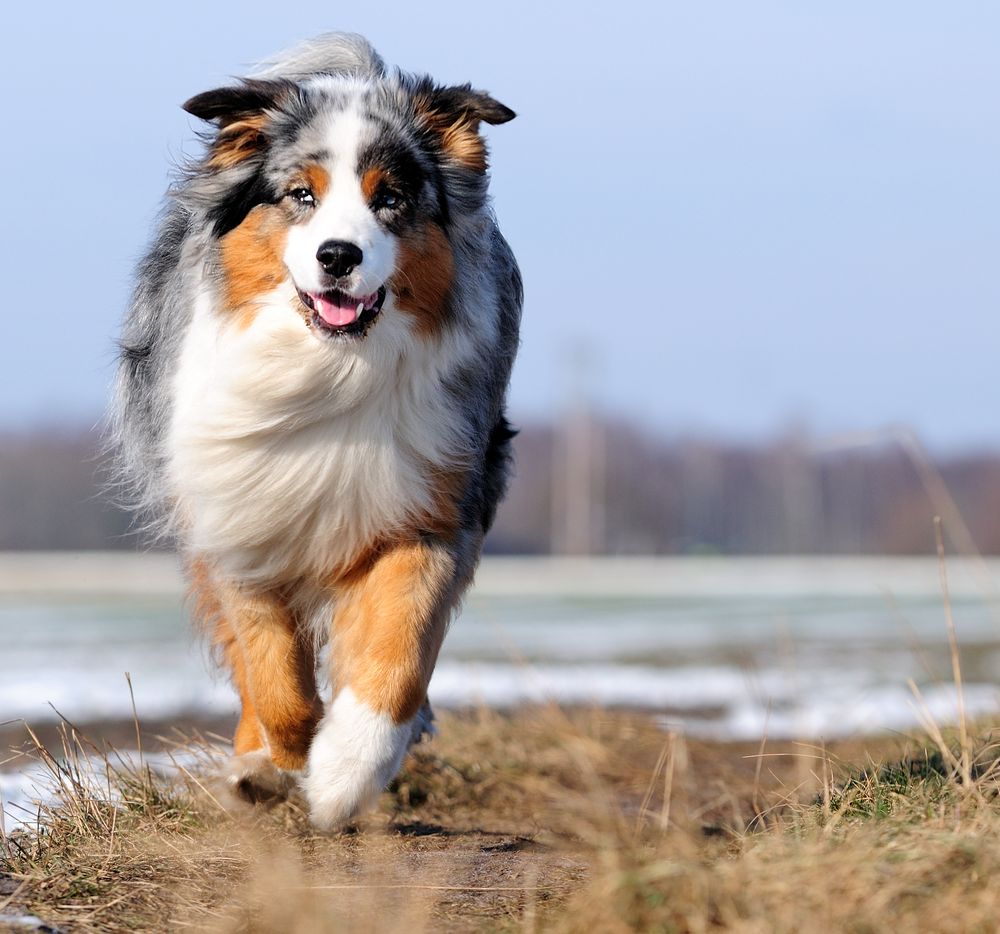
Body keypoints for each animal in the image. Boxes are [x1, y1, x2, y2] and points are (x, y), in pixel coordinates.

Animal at [112, 33, 520, 828]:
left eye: (391, 199)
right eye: (301, 195)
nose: (339, 255)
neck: (328, 369)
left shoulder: (428, 510)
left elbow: (396, 656)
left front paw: (343, 777)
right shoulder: (238, 516)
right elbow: (276, 677)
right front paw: (284, 763)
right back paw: (253, 768)